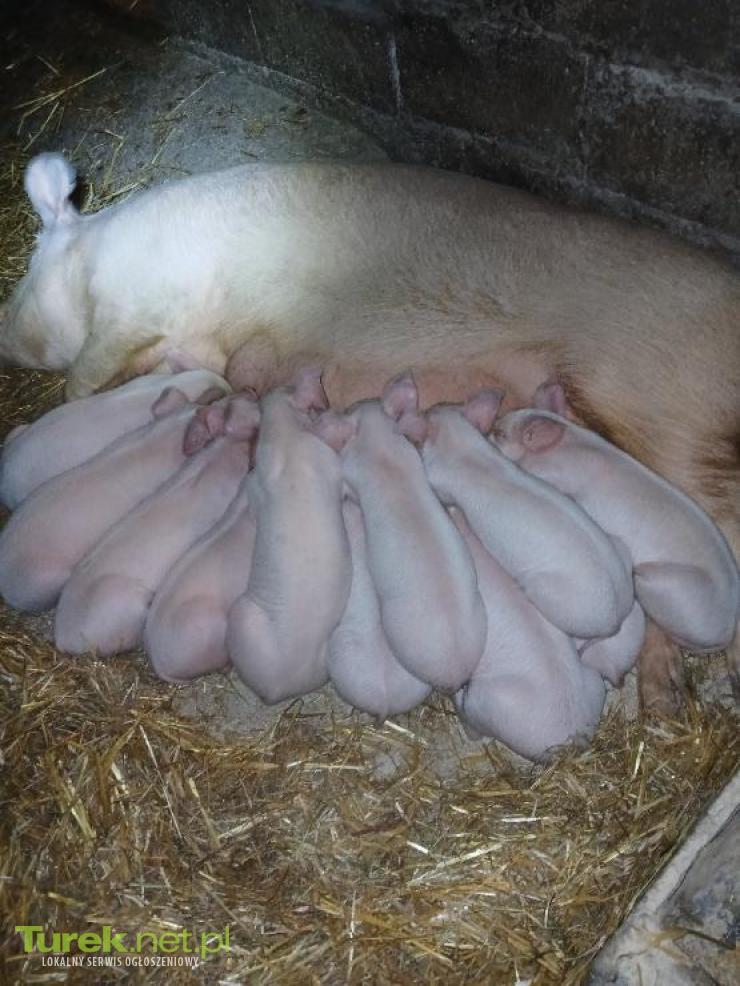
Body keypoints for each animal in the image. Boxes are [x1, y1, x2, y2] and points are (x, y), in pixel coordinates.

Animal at [397, 388, 634, 640]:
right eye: (442, 404)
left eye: (429, 411)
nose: (430, 405)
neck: (462, 447)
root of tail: (618, 618)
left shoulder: (440, 481)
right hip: (620, 550)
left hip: (549, 594)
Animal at [494, 383, 740, 655]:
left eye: (501, 434)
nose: (493, 426)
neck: (566, 443)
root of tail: (726, 632)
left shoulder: (558, 474)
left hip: (665, 585)